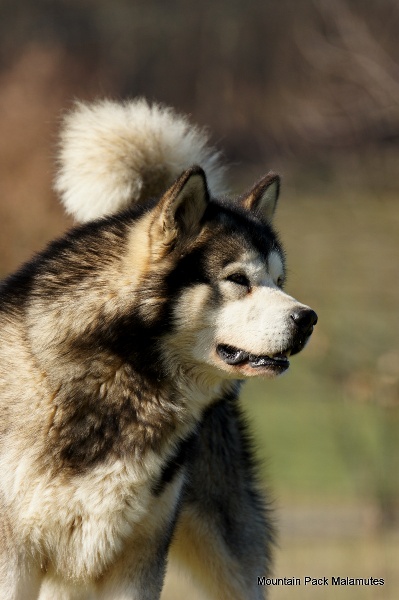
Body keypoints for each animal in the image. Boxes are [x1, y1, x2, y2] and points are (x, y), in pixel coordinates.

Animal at [0, 101, 318, 596]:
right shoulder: (16, 559)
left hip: (228, 563)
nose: (308, 319)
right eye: (239, 279)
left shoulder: (139, 557)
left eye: (279, 281)